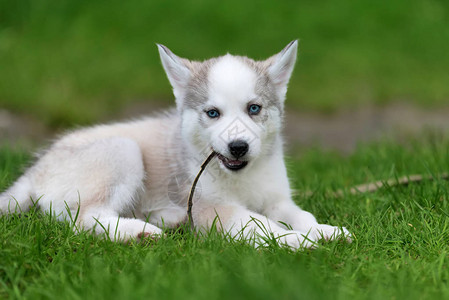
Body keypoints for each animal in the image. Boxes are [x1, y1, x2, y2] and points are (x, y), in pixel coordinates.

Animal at [0, 41, 350, 248]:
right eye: (213, 113)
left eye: (254, 108)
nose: (238, 147)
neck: (240, 178)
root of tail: (37, 168)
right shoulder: (212, 208)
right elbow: (260, 224)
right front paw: (296, 241)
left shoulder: (277, 199)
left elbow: (301, 214)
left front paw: (324, 231)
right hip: (123, 151)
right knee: (83, 219)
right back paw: (138, 232)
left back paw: (169, 220)